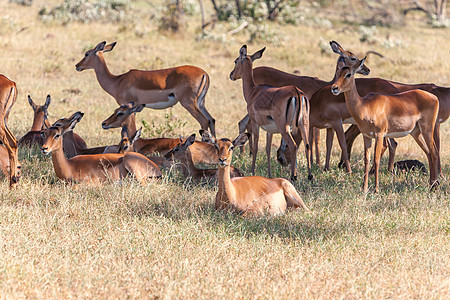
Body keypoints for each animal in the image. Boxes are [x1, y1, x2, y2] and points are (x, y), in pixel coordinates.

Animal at [75, 40, 216, 136]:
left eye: (87, 53)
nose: (77, 65)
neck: (117, 81)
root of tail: (204, 73)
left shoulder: (128, 106)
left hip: (188, 103)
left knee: (204, 121)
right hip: (200, 103)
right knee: (211, 120)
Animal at [230, 44, 312, 180]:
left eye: (236, 60)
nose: (231, 75)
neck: (253, 92)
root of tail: (296, 92)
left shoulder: (255, 123)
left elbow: (256, 146)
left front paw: (253, 171)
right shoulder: (270, 130)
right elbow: (268, 149)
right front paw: (269, 174)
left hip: (285, 128)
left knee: (294, 145)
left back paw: (293, 176)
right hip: (304, 124)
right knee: (307, 145)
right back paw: (310, 176)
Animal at [330, 57, 440, 192]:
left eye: (348, 74)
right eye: (337, 73)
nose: (334, 88)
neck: (365, 106)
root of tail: (434, 97)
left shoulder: (379, 134)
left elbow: (376, 159)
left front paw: (376, 189)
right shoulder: (366, 136)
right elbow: (367, 160)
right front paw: (364, 188)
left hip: (427, 129)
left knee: (434, 152)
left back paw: (434, 186)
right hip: (416, 133)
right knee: (428, 153)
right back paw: (431, 184)